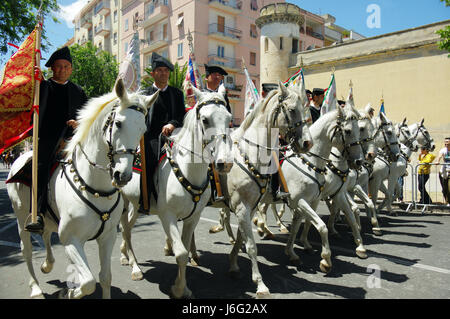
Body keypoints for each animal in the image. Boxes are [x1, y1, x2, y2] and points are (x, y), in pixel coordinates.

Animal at [6, 79, 158, 298]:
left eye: (143, 130)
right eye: (118, 123)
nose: (123, 176)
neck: (95, 186)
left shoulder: (107, 237)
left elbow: (105, 277)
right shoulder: (70, 239)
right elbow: (88, 282)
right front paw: (70, 292)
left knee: (45, 233)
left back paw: (47, 264)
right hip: (20, 217)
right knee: (26, 249)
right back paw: (35, 288)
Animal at [119, 85, 232, 300]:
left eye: (229, 119)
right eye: (205, 119)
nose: (225, 163)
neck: (188, 170)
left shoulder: (193, 217)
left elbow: (185, 249)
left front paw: (183, 286)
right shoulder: (167, 216)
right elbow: (180, 253)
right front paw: (179, 290)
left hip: (136, 205)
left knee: (126, 226)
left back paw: (125, 256)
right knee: (126, 229)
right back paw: (135, 267)